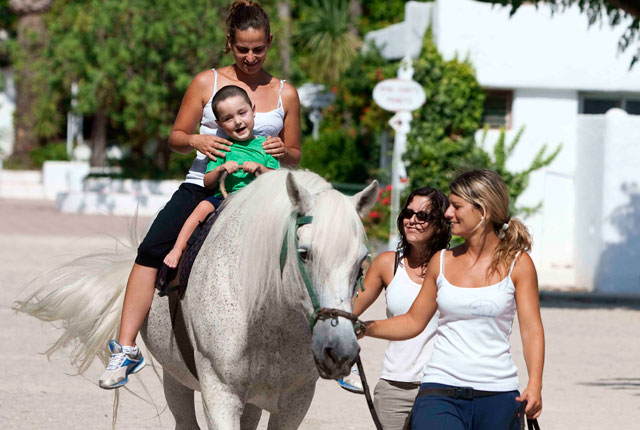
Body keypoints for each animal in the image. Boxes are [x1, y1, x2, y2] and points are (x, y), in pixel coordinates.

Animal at [15, 170, 379, 429]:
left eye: (362, 261)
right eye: (304, 253)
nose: (339, 351)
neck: (267, 316)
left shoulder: (295, 403)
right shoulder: (219, 396)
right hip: (175, 378)